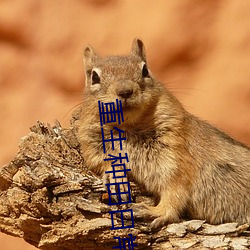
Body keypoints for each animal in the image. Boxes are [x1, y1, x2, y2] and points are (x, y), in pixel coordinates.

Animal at [77, 38, 249, 229]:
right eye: (94, 77)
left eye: (145, 70)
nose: (125, 91)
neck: (127, 127)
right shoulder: (92, 143)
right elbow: (101, 161)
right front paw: (116, 178)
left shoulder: (175, 155)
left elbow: (175, 190)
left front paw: (155, 211)